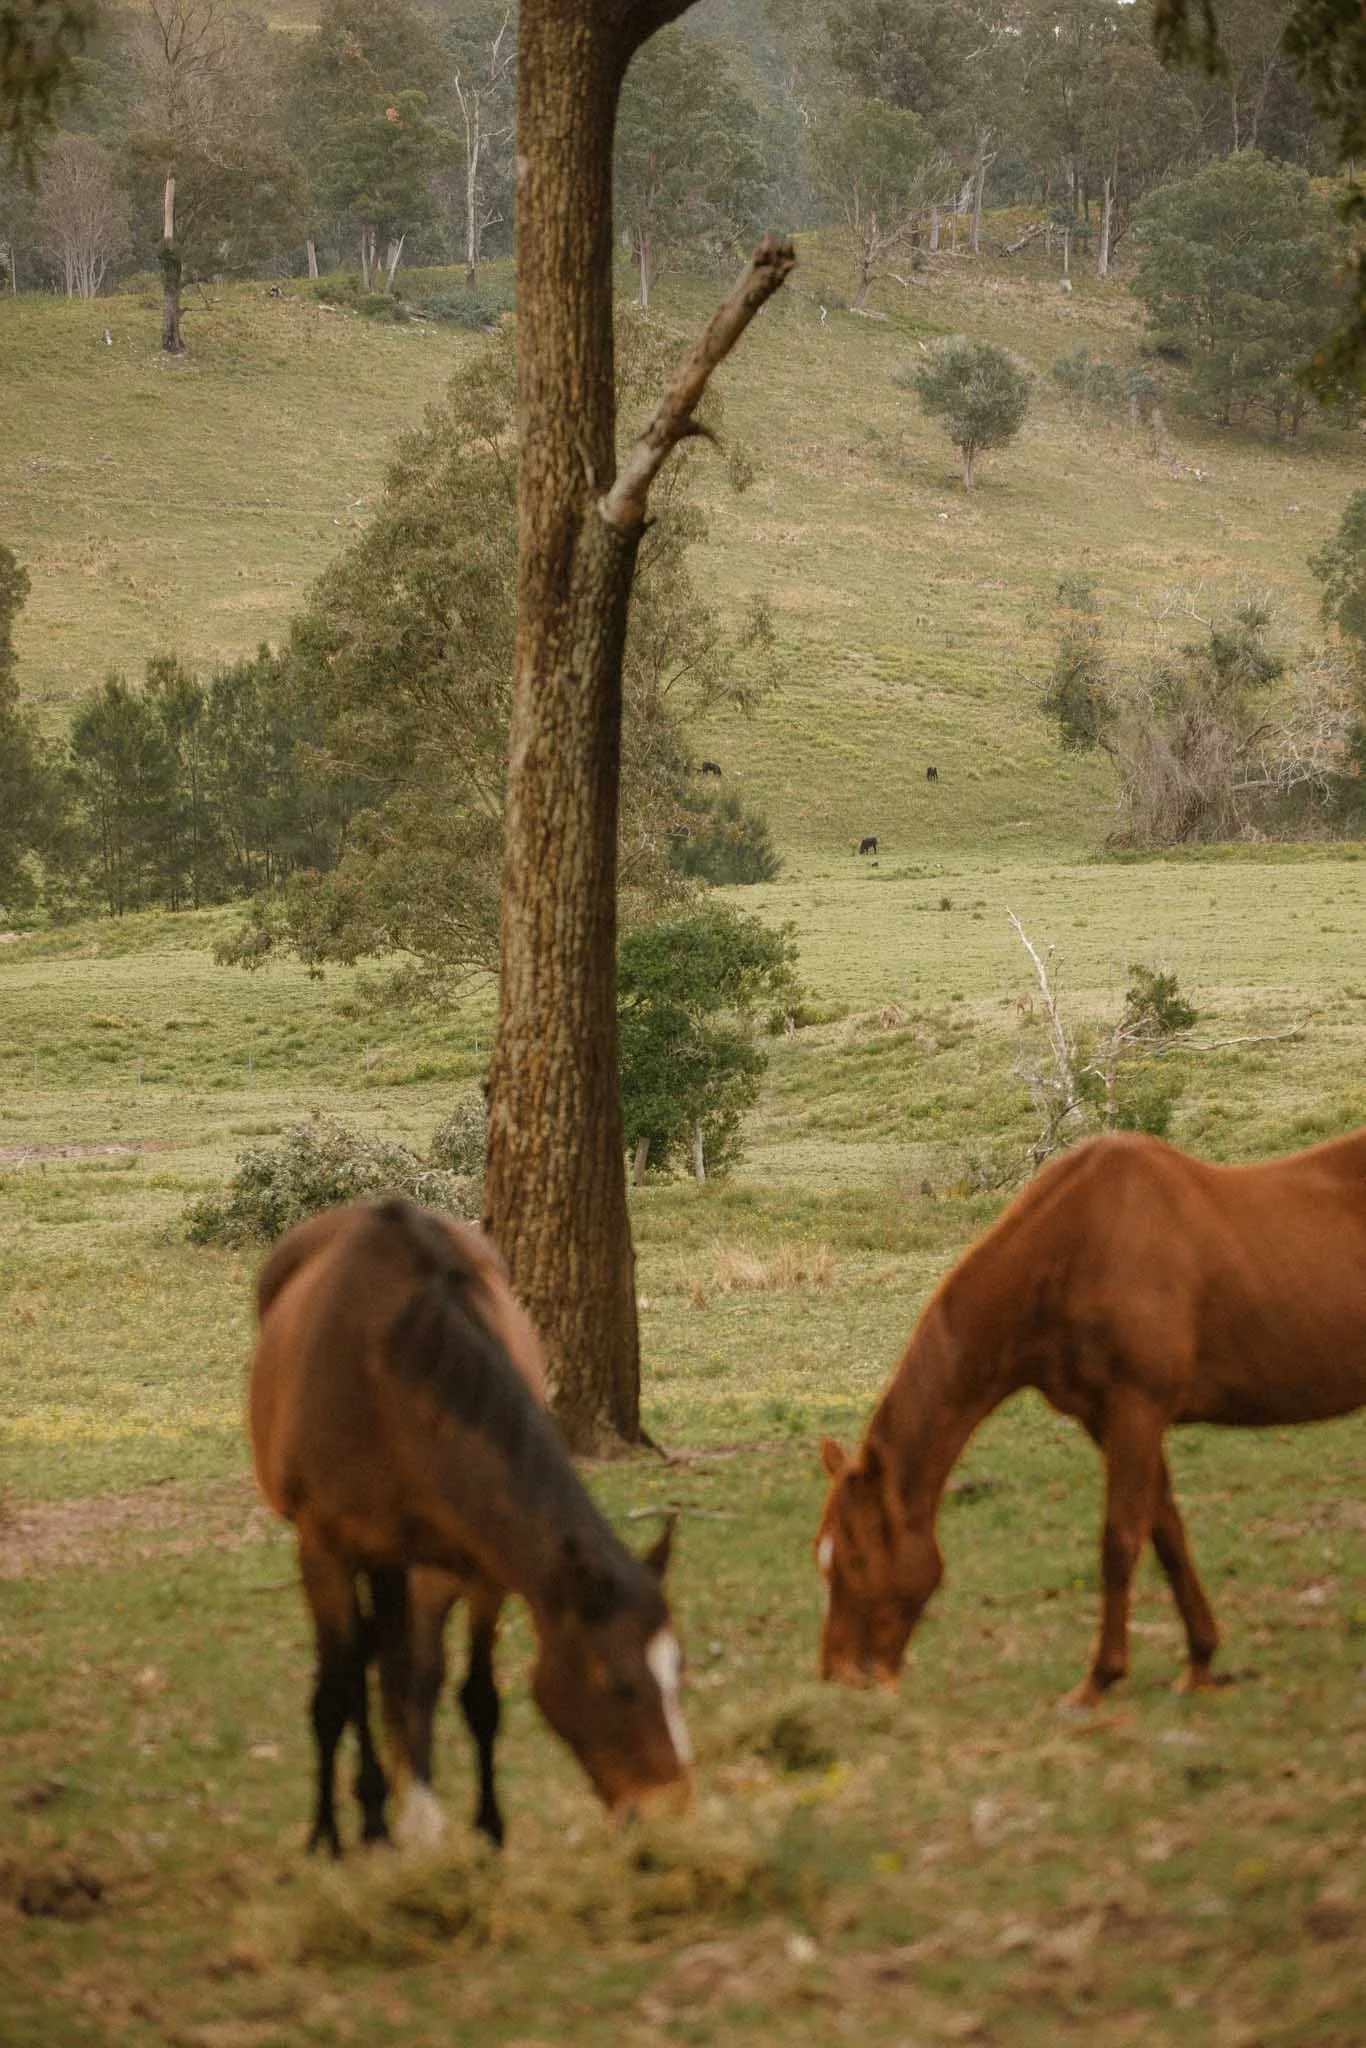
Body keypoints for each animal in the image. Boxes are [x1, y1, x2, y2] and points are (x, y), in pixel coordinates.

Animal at [249, 1197, 692, 1854]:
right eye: (619, 1683)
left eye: (677, 1671)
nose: (669, 1808)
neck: (385, 1379)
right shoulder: (323, 1550)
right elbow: (335, 1693)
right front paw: (332, 1835)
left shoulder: (478, 1564)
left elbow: (470, 1693)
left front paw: (482, 1827)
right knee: (358, 1671)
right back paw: (371, 1815)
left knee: (399, 1665)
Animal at [816, 1126, 1366, 1707]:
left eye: (855, 1557)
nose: (839, 1675)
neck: (1073, 1249)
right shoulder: (1108, 1421)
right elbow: (1166, 1534)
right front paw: (1200, 1661)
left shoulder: (1136, 1412)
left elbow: (1120, 1541)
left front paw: (1099, 1678)